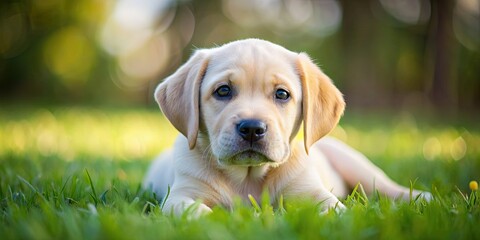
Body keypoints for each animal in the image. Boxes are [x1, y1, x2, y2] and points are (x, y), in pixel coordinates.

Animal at [143, 39, 432, 216]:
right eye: (223, 90)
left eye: (282, 94)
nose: (252, 128)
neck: (248, 178)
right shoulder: (181, 195)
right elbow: (193, 211)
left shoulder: (312, 192)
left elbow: (334, 209)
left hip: (355, 163)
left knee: (381, 185)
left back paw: (420, 197)